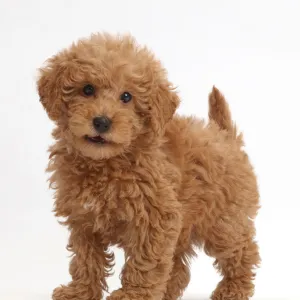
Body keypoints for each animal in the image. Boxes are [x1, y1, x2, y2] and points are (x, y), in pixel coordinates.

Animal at [38, 32, 260, 300]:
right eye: (87, 89)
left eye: (126, 97)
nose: (102, 122)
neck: (106, 164)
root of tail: (225, 136)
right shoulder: (84, 221)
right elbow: (86, 260)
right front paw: (80, 292)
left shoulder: (155, 219)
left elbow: (145, 262)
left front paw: (132, 295)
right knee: (179, 269)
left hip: (222, 220)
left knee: (242, 250)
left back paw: (233, 289)